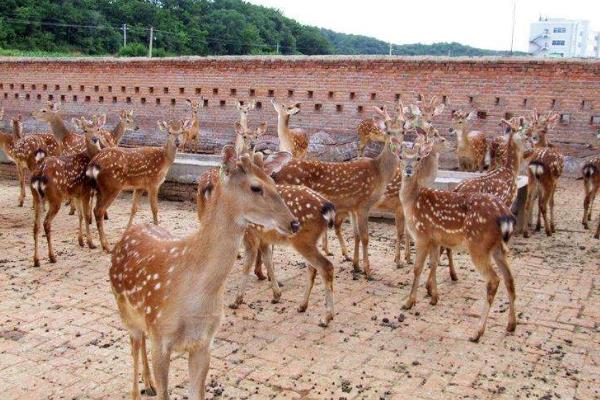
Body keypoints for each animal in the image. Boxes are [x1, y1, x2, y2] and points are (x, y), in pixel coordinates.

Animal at [30, 117, 103, 268]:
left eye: (98, 128)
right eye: (85, 130)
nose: (95, 139)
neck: (88, 157)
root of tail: (39, 173)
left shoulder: (77, 193)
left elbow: (80, 215)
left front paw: (81, 241)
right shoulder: (86, 191)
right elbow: (87, 216)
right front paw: (91, 243)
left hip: (37, 197)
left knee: (36, 226)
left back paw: (36, 260)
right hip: (55, 197)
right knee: (46, 223)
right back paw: (52, 257)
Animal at [86, 119, 189, 252]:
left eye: (181, 131)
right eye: (169, 132)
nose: (177, 142)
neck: (164, 160)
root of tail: (94, 163)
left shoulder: (140, 186)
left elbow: (134, 208)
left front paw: (127, 231)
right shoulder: (153, 182)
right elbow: (154, 208)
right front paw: (157, 230)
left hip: (99, 187)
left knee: (91, 209)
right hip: (112, 186)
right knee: (99, 210)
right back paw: (106, 246)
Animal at [110, 147, 298, 400]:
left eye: (274, 181)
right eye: (255, 187)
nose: (294, 223)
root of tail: (129, 232)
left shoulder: (204, 343)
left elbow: (197, 393)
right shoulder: (161, 336)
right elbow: (164, 392)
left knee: (140, 344)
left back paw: (148, 383)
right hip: (125, 311)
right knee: (135, 346)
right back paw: (140, 388)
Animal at [398, 137, 516, 340]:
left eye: (418, 158)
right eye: (401, 157)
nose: (408, 169)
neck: (412, 202)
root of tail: (505, 215)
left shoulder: (422, 235)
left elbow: (417, 268)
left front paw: (409, 302)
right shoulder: (435, 239)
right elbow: (434, 264)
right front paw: (434, 297)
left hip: (479, 246)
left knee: (494, 280)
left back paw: (477, 332)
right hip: (498, 247)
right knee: (509, 279)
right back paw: (511, 325)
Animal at [524, 110, 564, 238]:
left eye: (544, 130)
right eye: (534, 127)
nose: (533, 137)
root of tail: (538, 161)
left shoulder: (538, 181)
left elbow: (536, 201)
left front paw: (537, 226)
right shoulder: (556, 180)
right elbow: (552, 202)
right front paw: (552, 227)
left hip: (531, 177)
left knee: (528, 202)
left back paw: (526, 232)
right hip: (548, 180)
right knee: (543, 204)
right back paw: (548, 231)